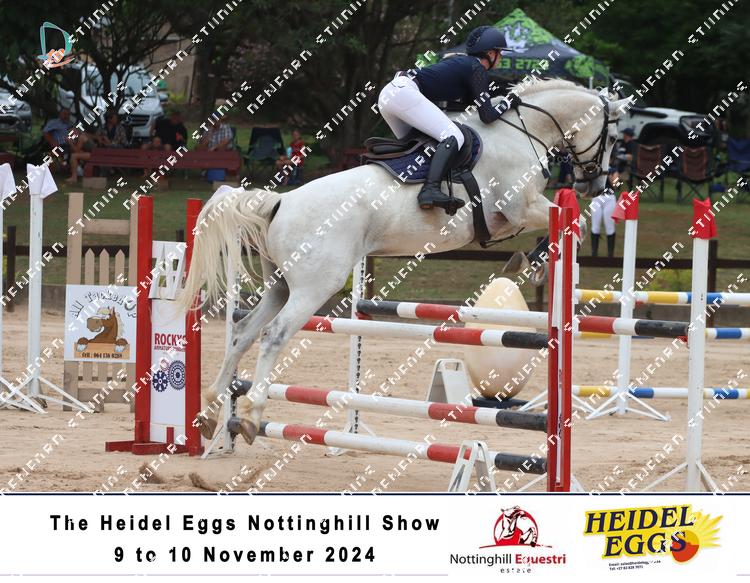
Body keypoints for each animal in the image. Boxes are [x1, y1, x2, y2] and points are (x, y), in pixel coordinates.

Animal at [180, 79, 630, 443]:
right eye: (612, 138)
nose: (596, 184)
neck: (521, 131)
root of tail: (280, 201)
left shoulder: (513, 216)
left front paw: (526, 261)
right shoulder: (519, 207)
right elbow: (574, 223)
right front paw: (531, 263)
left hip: (282, 285)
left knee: (242, 333)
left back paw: (210, 410)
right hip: (314, 286)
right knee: (274, 335)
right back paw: (251, 415)